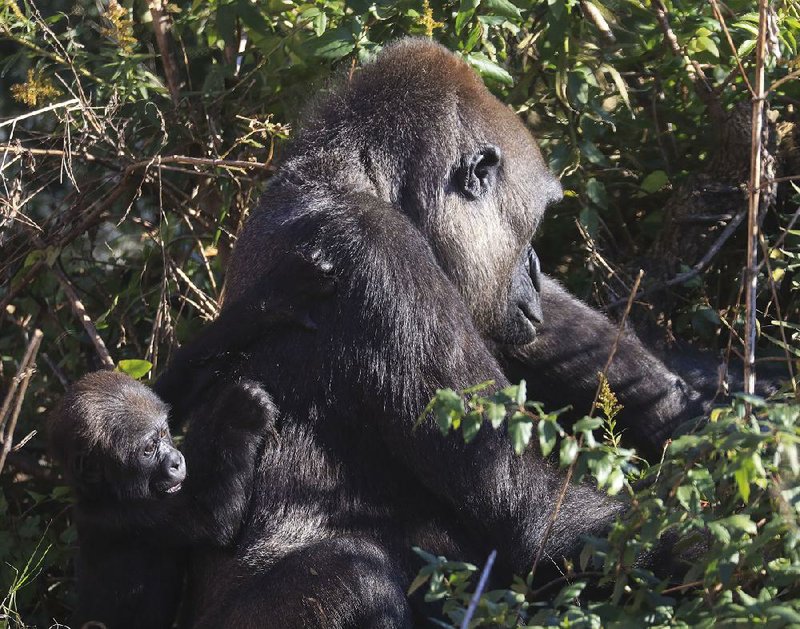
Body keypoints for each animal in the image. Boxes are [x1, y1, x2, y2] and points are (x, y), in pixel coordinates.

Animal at [50, 370, 276, 624]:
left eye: (164, 433)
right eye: (149, 449)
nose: (176, 461)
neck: (101, 494)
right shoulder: (131, 514)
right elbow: (214, 517)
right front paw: (241, 413)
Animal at [156, 38, 708, 624]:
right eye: (534, 225)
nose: (536, 269)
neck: (356, 178)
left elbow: (551, 338)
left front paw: (696, 411)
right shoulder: (381, 254)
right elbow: (524, 501)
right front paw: (699, 547)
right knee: (353, 578)